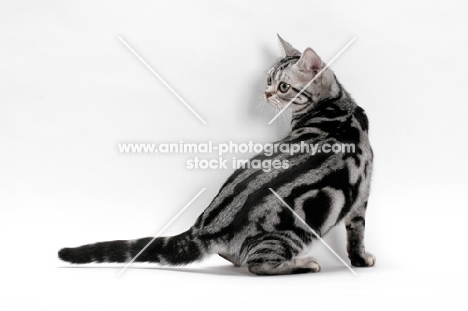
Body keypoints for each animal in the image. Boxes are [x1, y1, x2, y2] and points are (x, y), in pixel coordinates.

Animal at [58, 35, 374, 276]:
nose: (266, 94)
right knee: (257, 265)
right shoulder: (362, 192)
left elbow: (356, 229)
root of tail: (203, 228)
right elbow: (357, 231)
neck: (336, 108)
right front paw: (361, 259)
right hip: (292, 234)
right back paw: (303, 264)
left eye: (283, 86)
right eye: (269, 81)